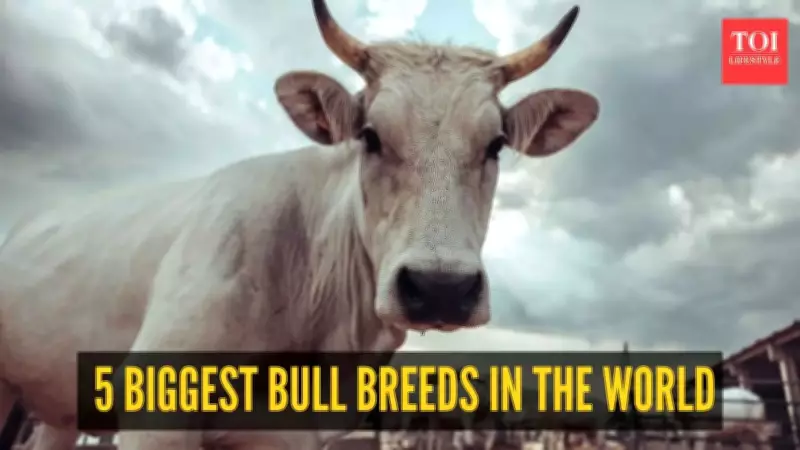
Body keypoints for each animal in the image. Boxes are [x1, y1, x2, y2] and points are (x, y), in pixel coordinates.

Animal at [0, 0, 600, 449]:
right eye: (370, 136)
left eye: (495, 144)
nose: (440, 289)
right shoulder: (155, 416)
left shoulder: (285, 434)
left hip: (57, 407)